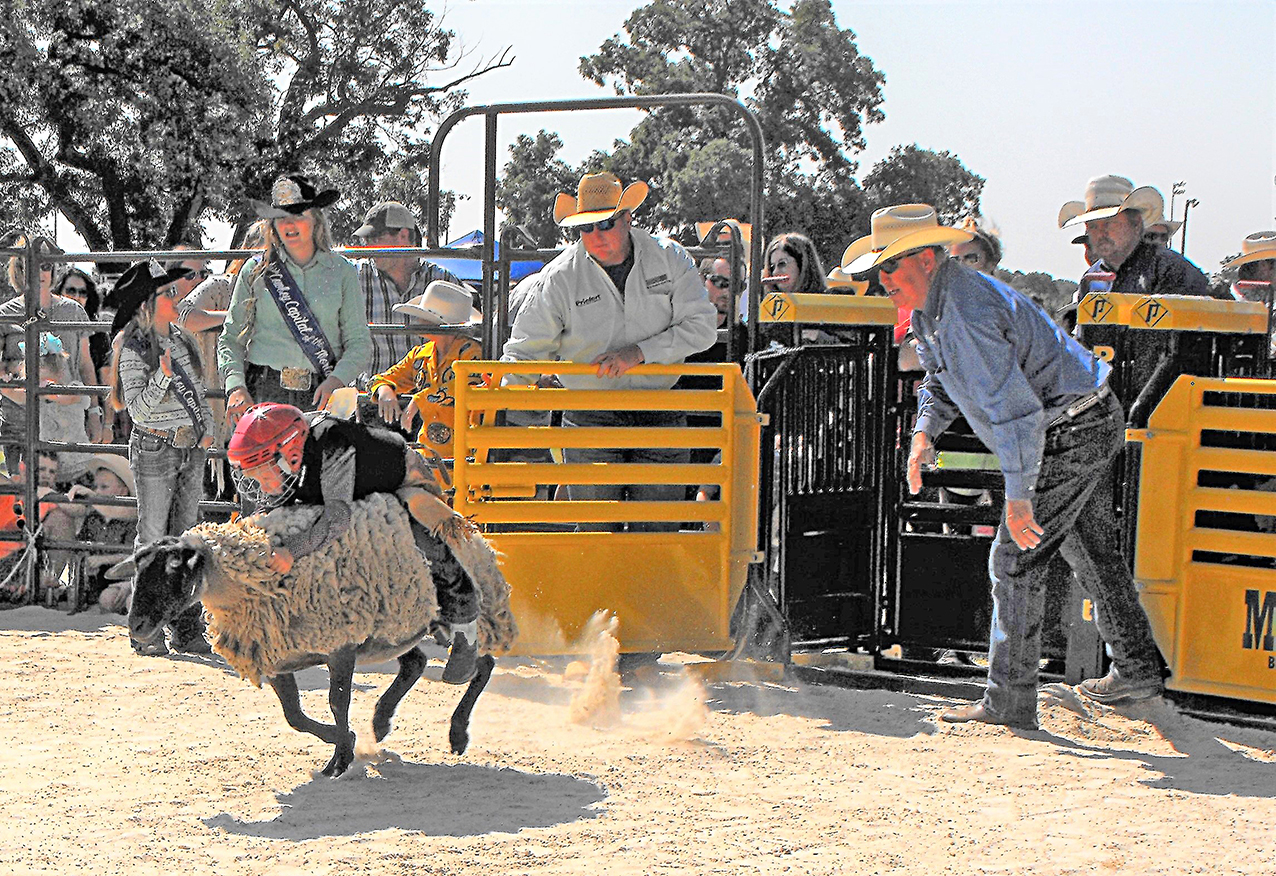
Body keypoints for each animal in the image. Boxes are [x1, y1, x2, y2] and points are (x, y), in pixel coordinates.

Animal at [121, 489, 515, 780]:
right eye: (139, 569)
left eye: (173, 570)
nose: (136, 626)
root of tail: (468, 529)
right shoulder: (278, 657)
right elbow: (293, 716)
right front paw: (348, 741)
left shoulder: (340, 646)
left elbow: (337, 702)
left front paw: (340, 759)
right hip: (397, 626)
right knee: (415, 664)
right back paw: (381, 720)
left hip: (450, 616)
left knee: (480, 665)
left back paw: (457, 731)